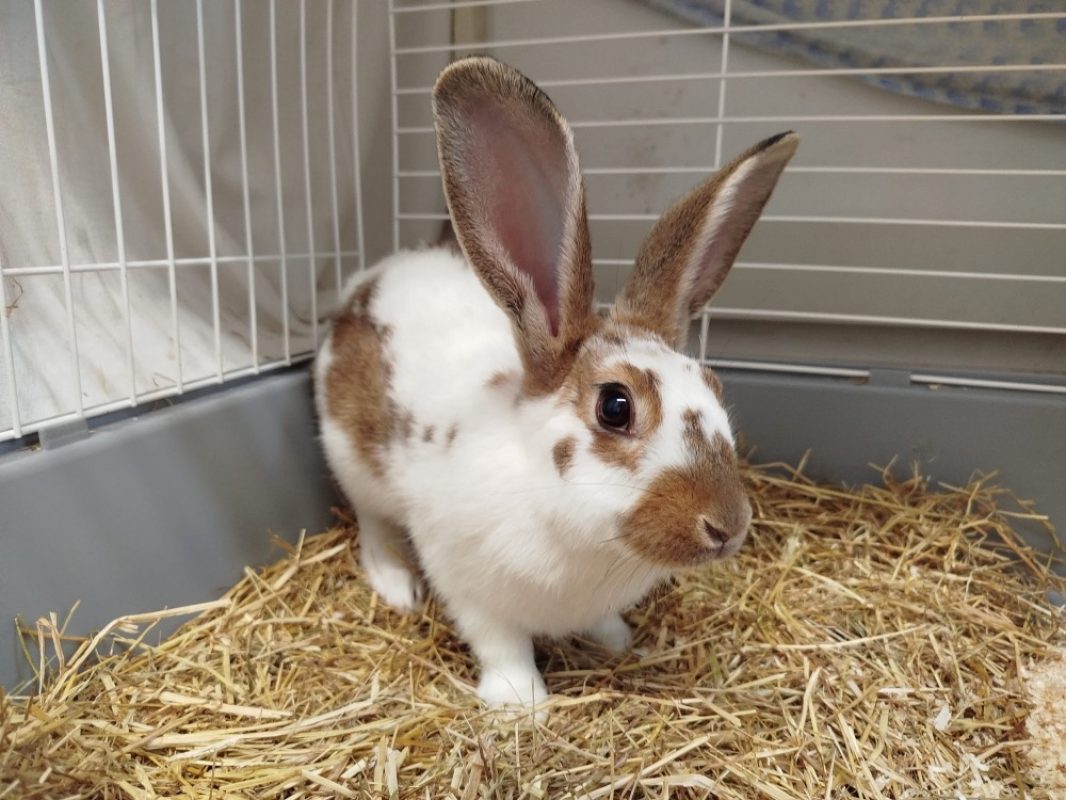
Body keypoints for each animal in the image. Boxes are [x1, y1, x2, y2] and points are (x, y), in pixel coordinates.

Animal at [314, 56, 798, 709]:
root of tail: (370, 278)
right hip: (352, 462)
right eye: (615, 406)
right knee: (372, 526)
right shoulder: (468, 584)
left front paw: (617, 642)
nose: (728, 527)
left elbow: (600, 624)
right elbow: (500, 645)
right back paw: (396, 586)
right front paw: (520, 705)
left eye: (714, 386)